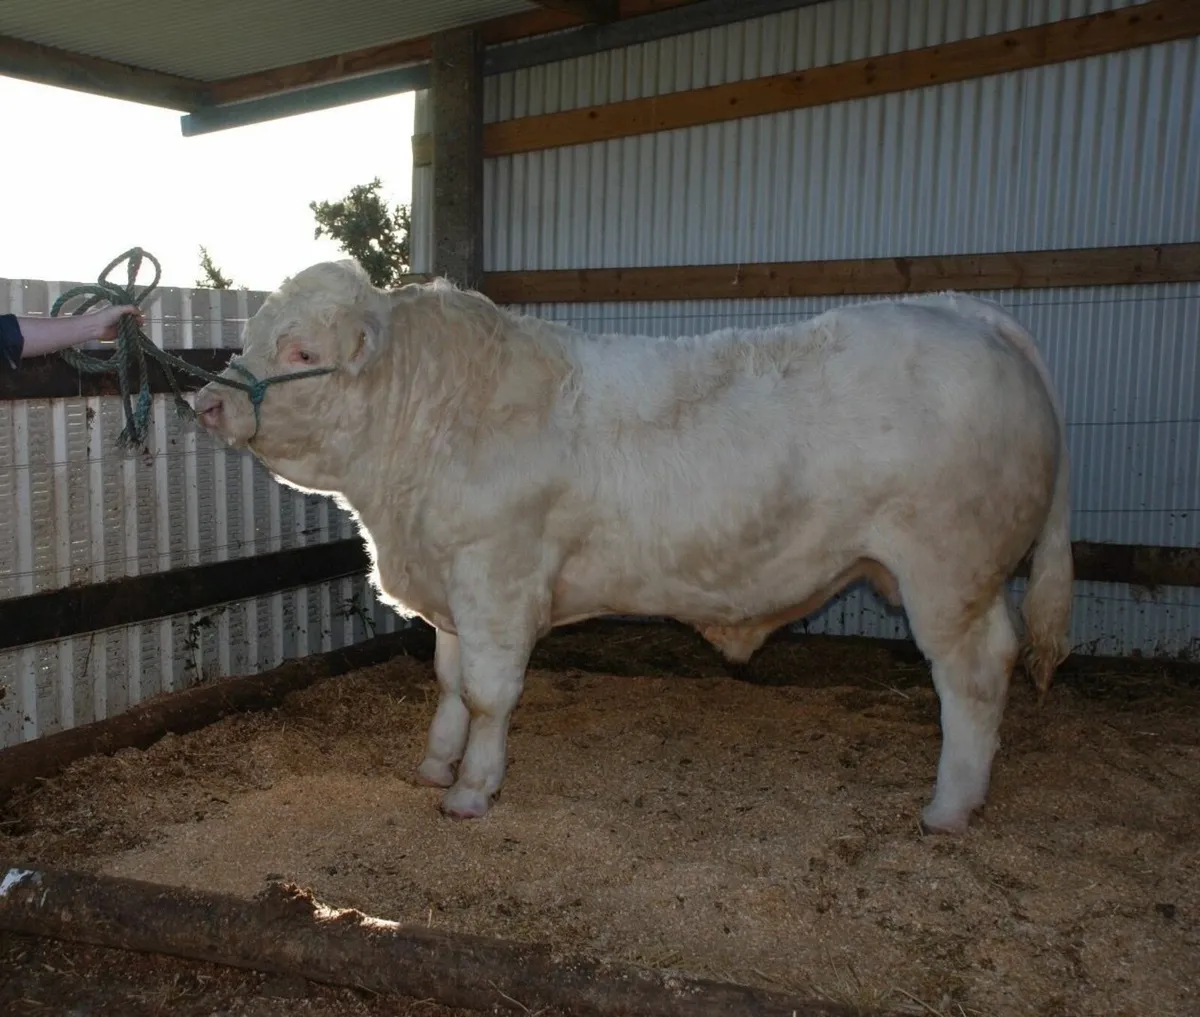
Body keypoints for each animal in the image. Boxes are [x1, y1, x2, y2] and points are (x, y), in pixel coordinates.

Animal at [193, 259, 1073, 835]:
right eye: (256, 331)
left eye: (302, 350)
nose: (206, 402)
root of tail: (963, 310)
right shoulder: (450, 585)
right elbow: (448, 683)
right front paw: (437, 763)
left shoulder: (497, 577)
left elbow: (488, 693)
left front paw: (472, 789)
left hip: (947, 572)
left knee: (974, 675)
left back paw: (948, 807)